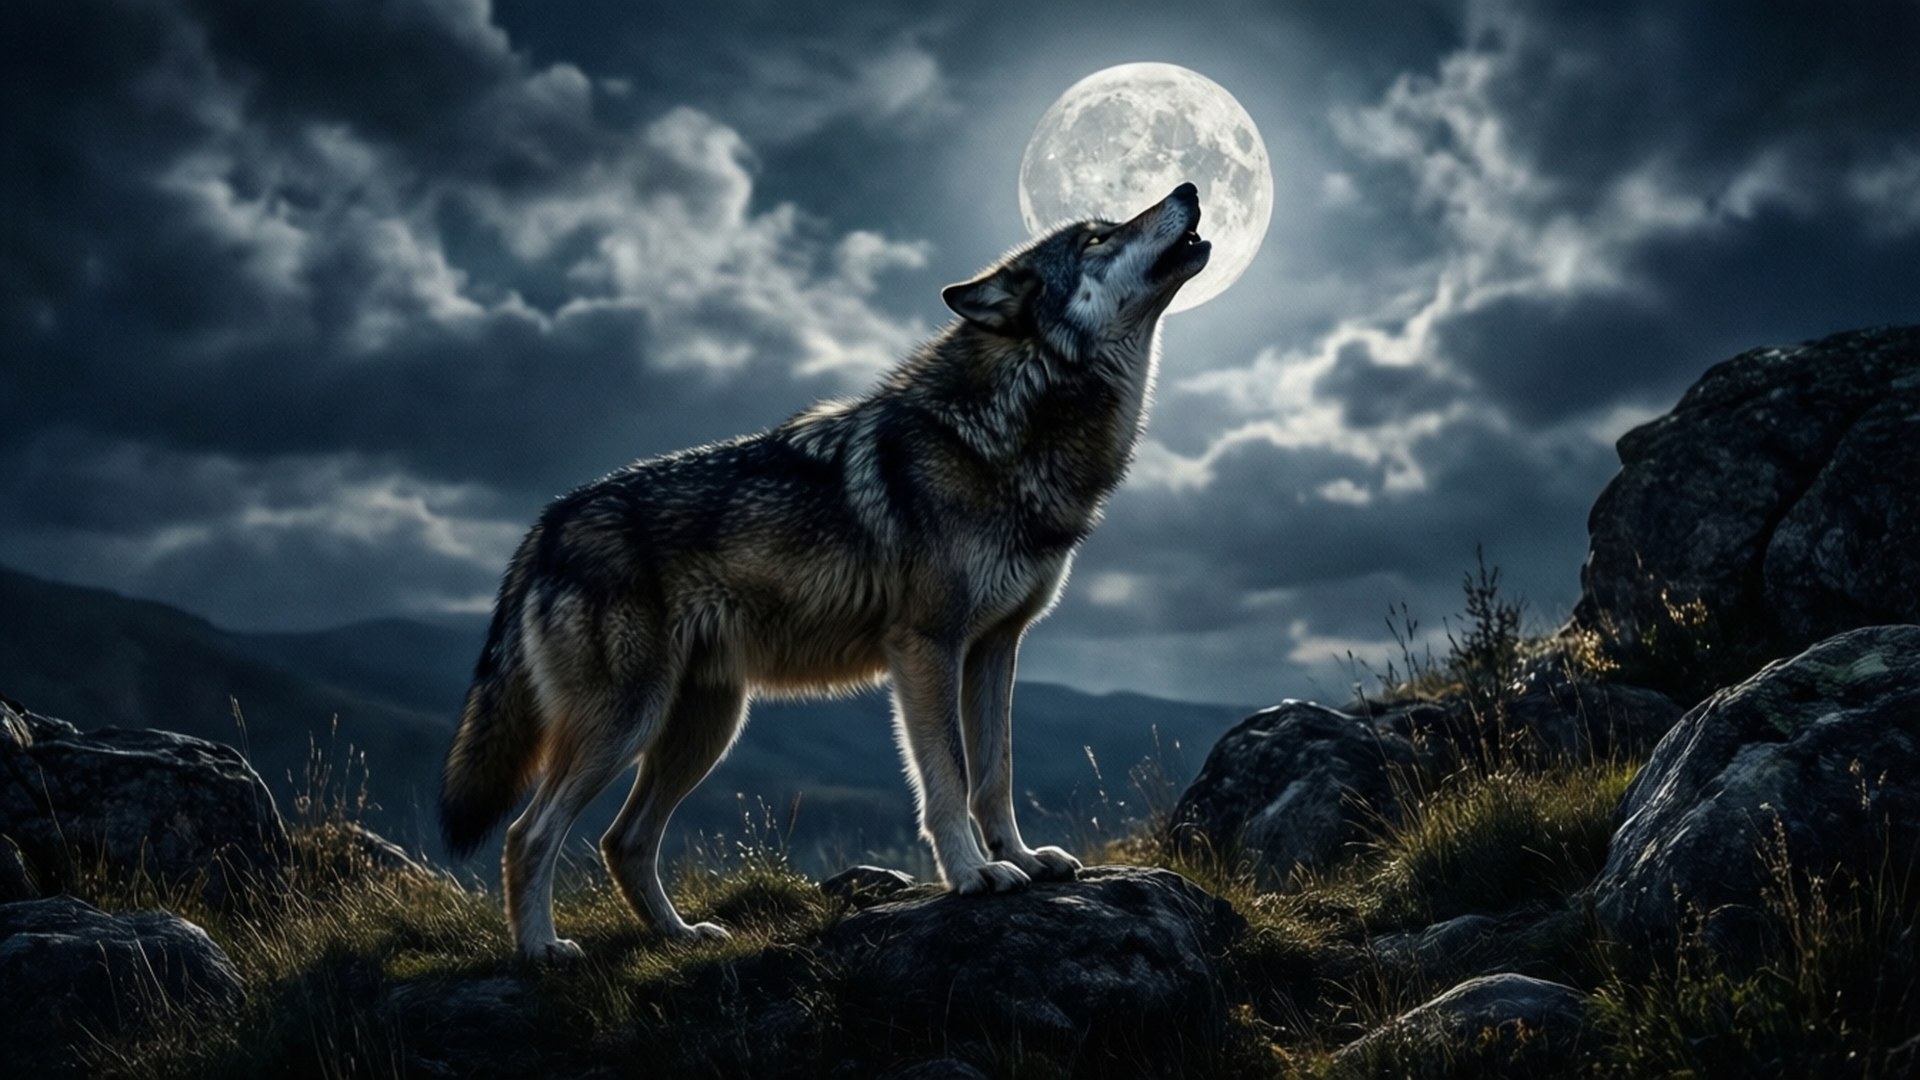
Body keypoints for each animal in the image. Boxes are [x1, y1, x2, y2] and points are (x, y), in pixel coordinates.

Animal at [439, 183, 1211, 960]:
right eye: (1097, 238)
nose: (1188, 189)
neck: (1003, 429)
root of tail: (547, 523)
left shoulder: (996, 647)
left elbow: (996, 773)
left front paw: (1020, 859)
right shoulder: (927, 646)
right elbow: (949, 776)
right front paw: (973, 874)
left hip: (704, 726)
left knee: (623, 841)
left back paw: (682, 936)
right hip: (626, 722)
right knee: (528, 833)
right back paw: (542, 951)